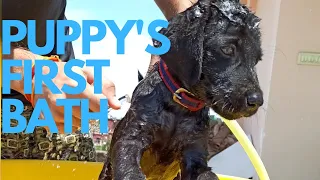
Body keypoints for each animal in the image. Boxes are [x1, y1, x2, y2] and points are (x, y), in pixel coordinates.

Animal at [99, 0, 262, 179]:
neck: (179, 105)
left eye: (257, 59)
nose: (257, 100)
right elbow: (129, 170)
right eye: (227, 49)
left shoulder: (194, 153)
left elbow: (207, 174)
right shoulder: (132, 137)